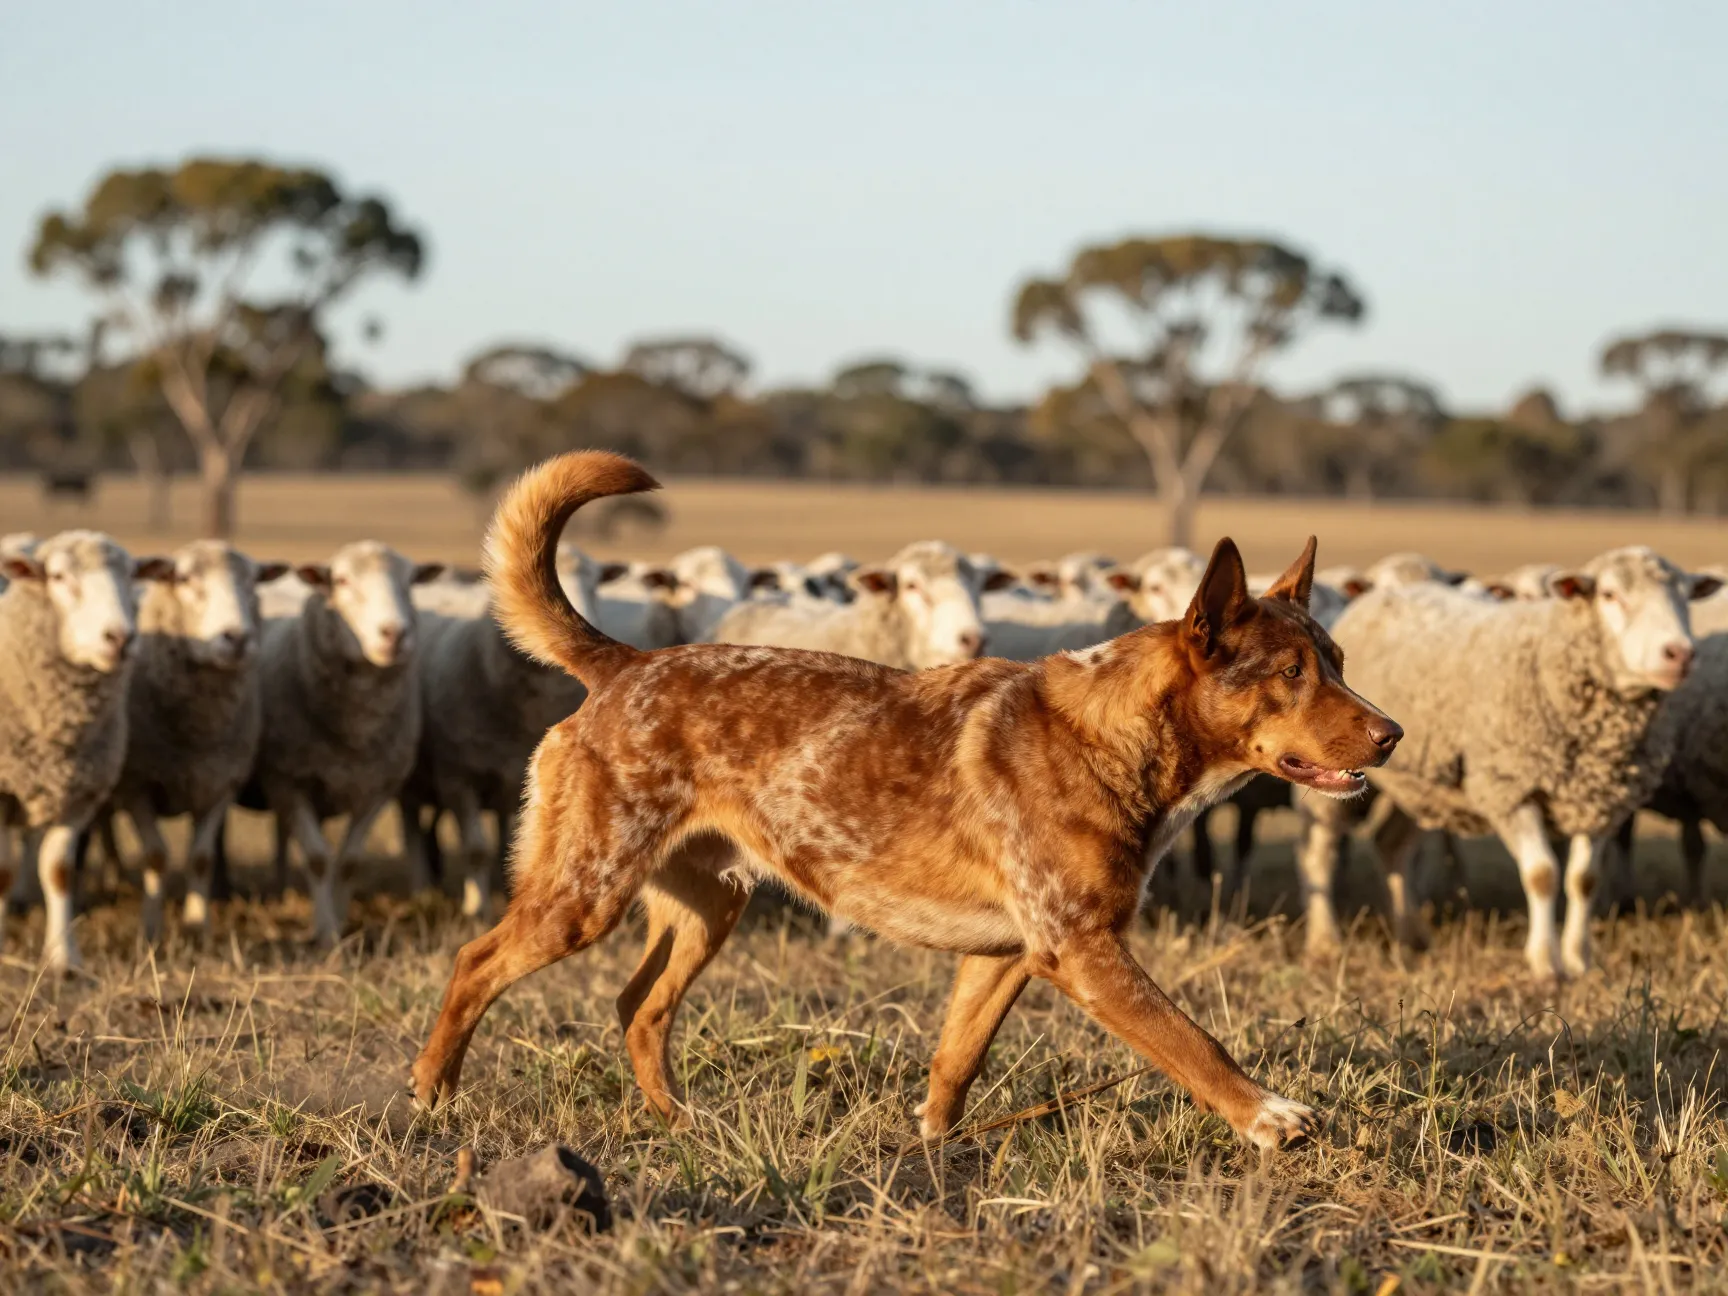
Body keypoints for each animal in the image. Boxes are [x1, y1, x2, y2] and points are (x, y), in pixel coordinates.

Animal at [0, 531, 169, 969]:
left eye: (131, 575)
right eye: (59, 577)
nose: (120, 638)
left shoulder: (83, 793)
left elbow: (59, 870)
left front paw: (64, 958)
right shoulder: (3, 791)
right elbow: (3, 870)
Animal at [251, 541, 442, 944]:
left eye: (411, 581)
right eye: (341, 580)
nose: (394, 634)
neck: (355, 734)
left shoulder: (378, 788)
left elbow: (349, 862)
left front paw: (340, 922)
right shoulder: (287, 781)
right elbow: (317, 859)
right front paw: (324, 933)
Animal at [1295, 546, 1709, 979]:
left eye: (1687, 596)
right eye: (1610, 595)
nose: (1680, 654)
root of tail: (1383, 594)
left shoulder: (1600, 800)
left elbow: (1585, 880)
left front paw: (1580, 961)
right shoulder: (1510, 789)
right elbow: (1543, 875)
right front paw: (1545, 964)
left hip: (1420, 785)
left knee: (1391, 844)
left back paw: (1412, 935)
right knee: (1319, 852)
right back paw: (1325, 942)